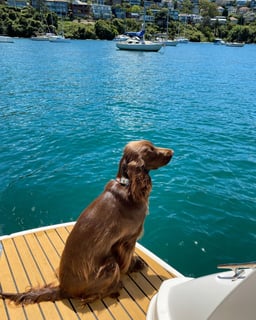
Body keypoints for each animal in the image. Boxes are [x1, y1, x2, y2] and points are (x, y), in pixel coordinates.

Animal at [0, 140, 174, 304]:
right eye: (149, 151)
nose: (171, 152)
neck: (128, 186)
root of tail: (63, 289)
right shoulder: (127, 240)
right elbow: (127, 259)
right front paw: (133, 266)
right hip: (110, 266)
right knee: (90, 295)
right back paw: (114, 288)